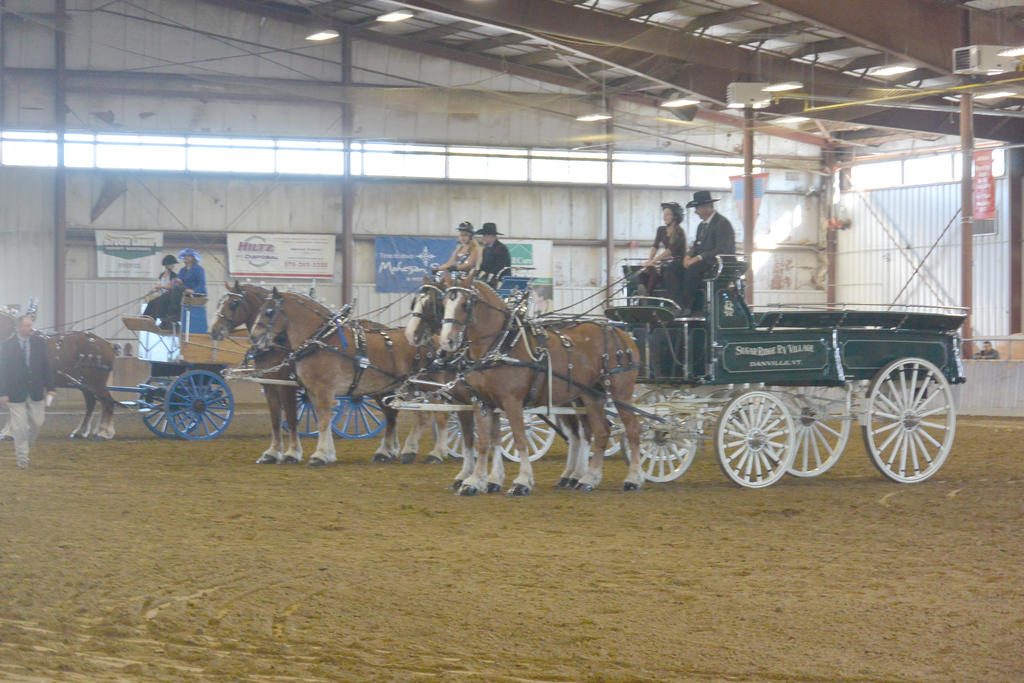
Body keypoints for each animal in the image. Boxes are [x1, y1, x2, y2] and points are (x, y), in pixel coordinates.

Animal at [1, 307, 117, 440]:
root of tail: (108, 345)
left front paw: (10, 432)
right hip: (85, 383)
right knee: (92, 402)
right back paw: (82, 431)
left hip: (95, 381)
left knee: (107, 402)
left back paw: (104, 432)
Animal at [436, 274, 643, 497]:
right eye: (443, 304)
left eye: (465, 304)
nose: (446, 342)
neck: (500, 345)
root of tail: (622, 334)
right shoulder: (481, 402)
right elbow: (484, 441)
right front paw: (475, 482)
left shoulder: (512, 402)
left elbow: (519, 439)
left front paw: (522, 481)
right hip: (591, 394)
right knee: (600, 431)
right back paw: (588, 479)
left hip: (620, 392)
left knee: (632, 429)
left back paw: (633, 478)